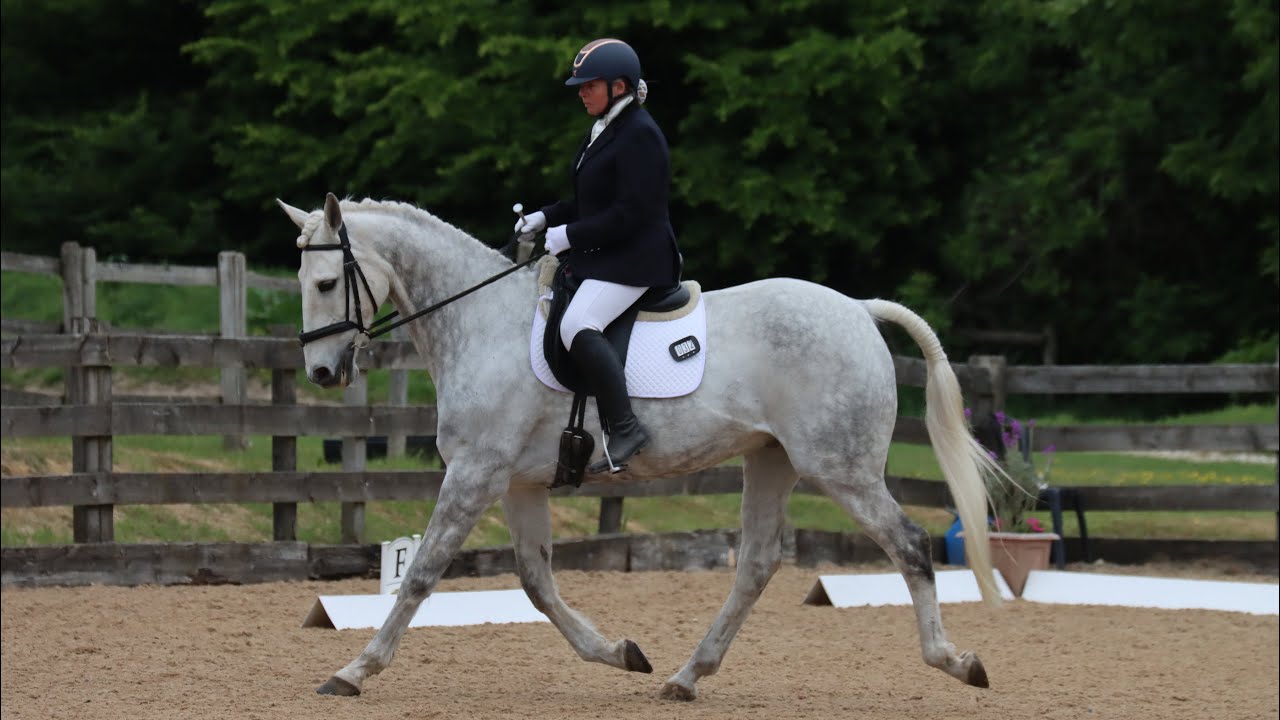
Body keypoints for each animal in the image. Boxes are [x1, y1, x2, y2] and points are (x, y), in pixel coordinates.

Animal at [278, 192, 1002, 701]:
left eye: (325, 284)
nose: (321, 372)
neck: (482, 324)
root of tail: (858, 308)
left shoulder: (475, 473)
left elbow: (422, 573)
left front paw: (354, 670)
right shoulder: (517, 482)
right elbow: (536, 582)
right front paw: (620, 652)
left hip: (840, 468)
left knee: (908, 544)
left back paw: (957, 661)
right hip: (771, 460)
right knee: (757, 564)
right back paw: (685, 677)